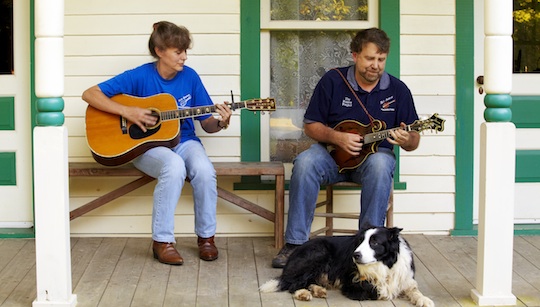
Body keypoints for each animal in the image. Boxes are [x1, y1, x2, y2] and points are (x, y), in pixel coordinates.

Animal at [260, 225, 434, 306]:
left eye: (374, 242)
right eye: (360, 241)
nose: (355, 255)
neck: (384, 265)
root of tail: (296, 250)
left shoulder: (405, 278)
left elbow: (413, 289)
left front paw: (424, 299)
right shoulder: (352, 284)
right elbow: (377, 291)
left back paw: (318, 290)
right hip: (318, 253)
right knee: (293, 284)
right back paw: (304, 293)